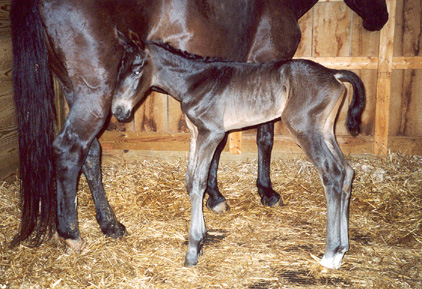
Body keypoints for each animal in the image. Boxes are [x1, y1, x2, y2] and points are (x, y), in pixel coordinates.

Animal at [112, 30, 366, 268]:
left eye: (137, 70)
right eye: (119, 69)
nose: (118, 111)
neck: (197, 82)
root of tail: (333, 74)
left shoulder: (211, 134)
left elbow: (198, 183)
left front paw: (193, 249)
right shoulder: (196, 134)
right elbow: (189, 180)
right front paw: (201, 241)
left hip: (304, 128)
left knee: (332, 173)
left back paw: (330, 253)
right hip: (325, 130)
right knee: (347, 171)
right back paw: (342, 249)